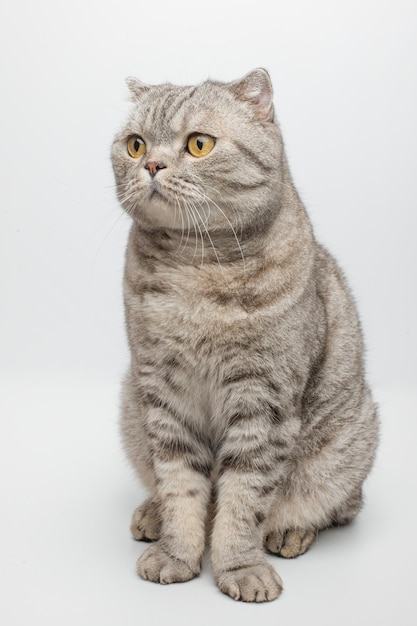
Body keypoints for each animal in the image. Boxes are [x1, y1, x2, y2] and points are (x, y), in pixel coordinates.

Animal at [109, 67, 376, 600]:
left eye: (198, 144)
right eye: (135, 144)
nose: (151, 164)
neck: (195, 268)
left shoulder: (263, 398)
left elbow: (242, 497)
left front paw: (238, 565)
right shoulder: (162, 391)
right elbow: (181, 484)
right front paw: (177, 551)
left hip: (349, 442)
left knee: (338, 505)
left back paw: (291, 530)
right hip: (131, 408)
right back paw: (152, 515)